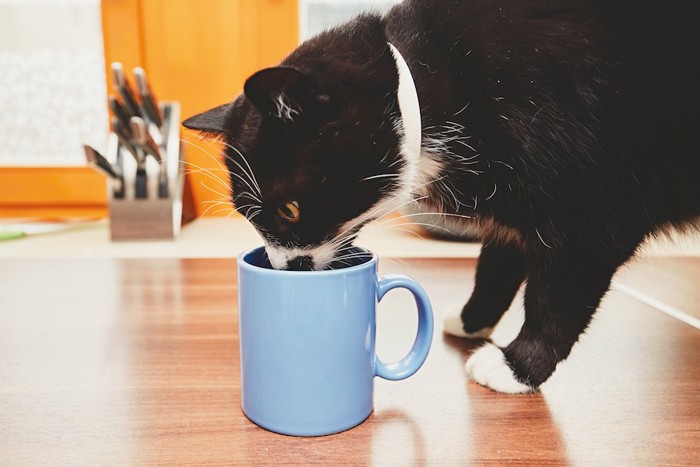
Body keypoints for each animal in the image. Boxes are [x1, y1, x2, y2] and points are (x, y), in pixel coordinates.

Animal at [183, 0, 700, 394]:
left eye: (288, 210)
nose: (283, 268)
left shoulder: (592, 205)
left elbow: (559, 294)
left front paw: (518, 366)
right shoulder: (516, 202)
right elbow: (498, 260)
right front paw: (474, 320)